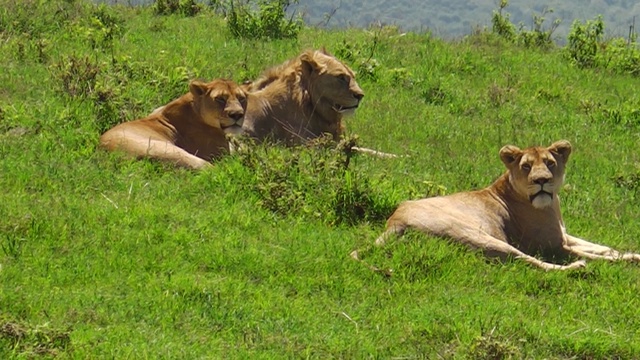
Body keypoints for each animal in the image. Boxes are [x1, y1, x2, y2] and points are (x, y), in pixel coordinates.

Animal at [352, 140, 640, 270]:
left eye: (550, 163)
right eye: (526, 167)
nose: (542, 181)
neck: (551, 206)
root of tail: (394, 222)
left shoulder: (564, 235)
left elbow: (599, 246)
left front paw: (624, 252)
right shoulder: (554, 246)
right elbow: (593, 254)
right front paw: (625, 260)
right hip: (480, 236)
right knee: (530, 262)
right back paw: (575, 268)